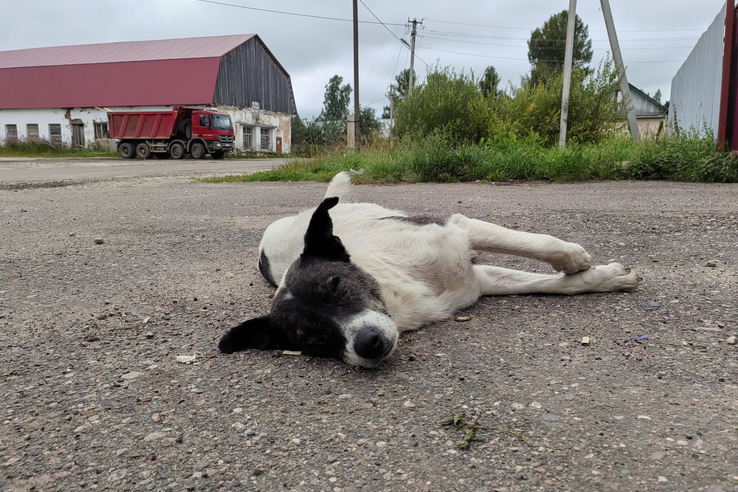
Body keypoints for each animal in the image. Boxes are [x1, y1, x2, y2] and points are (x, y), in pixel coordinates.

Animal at [218, 172, 640, 366]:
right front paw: (600, 277)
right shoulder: (478, 283)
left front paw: (578, 261)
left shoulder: (457, 229)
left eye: (335, 286)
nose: (368, 344)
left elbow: (539, 245)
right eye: (311, 339)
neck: (401, 288)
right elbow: (551, 284)